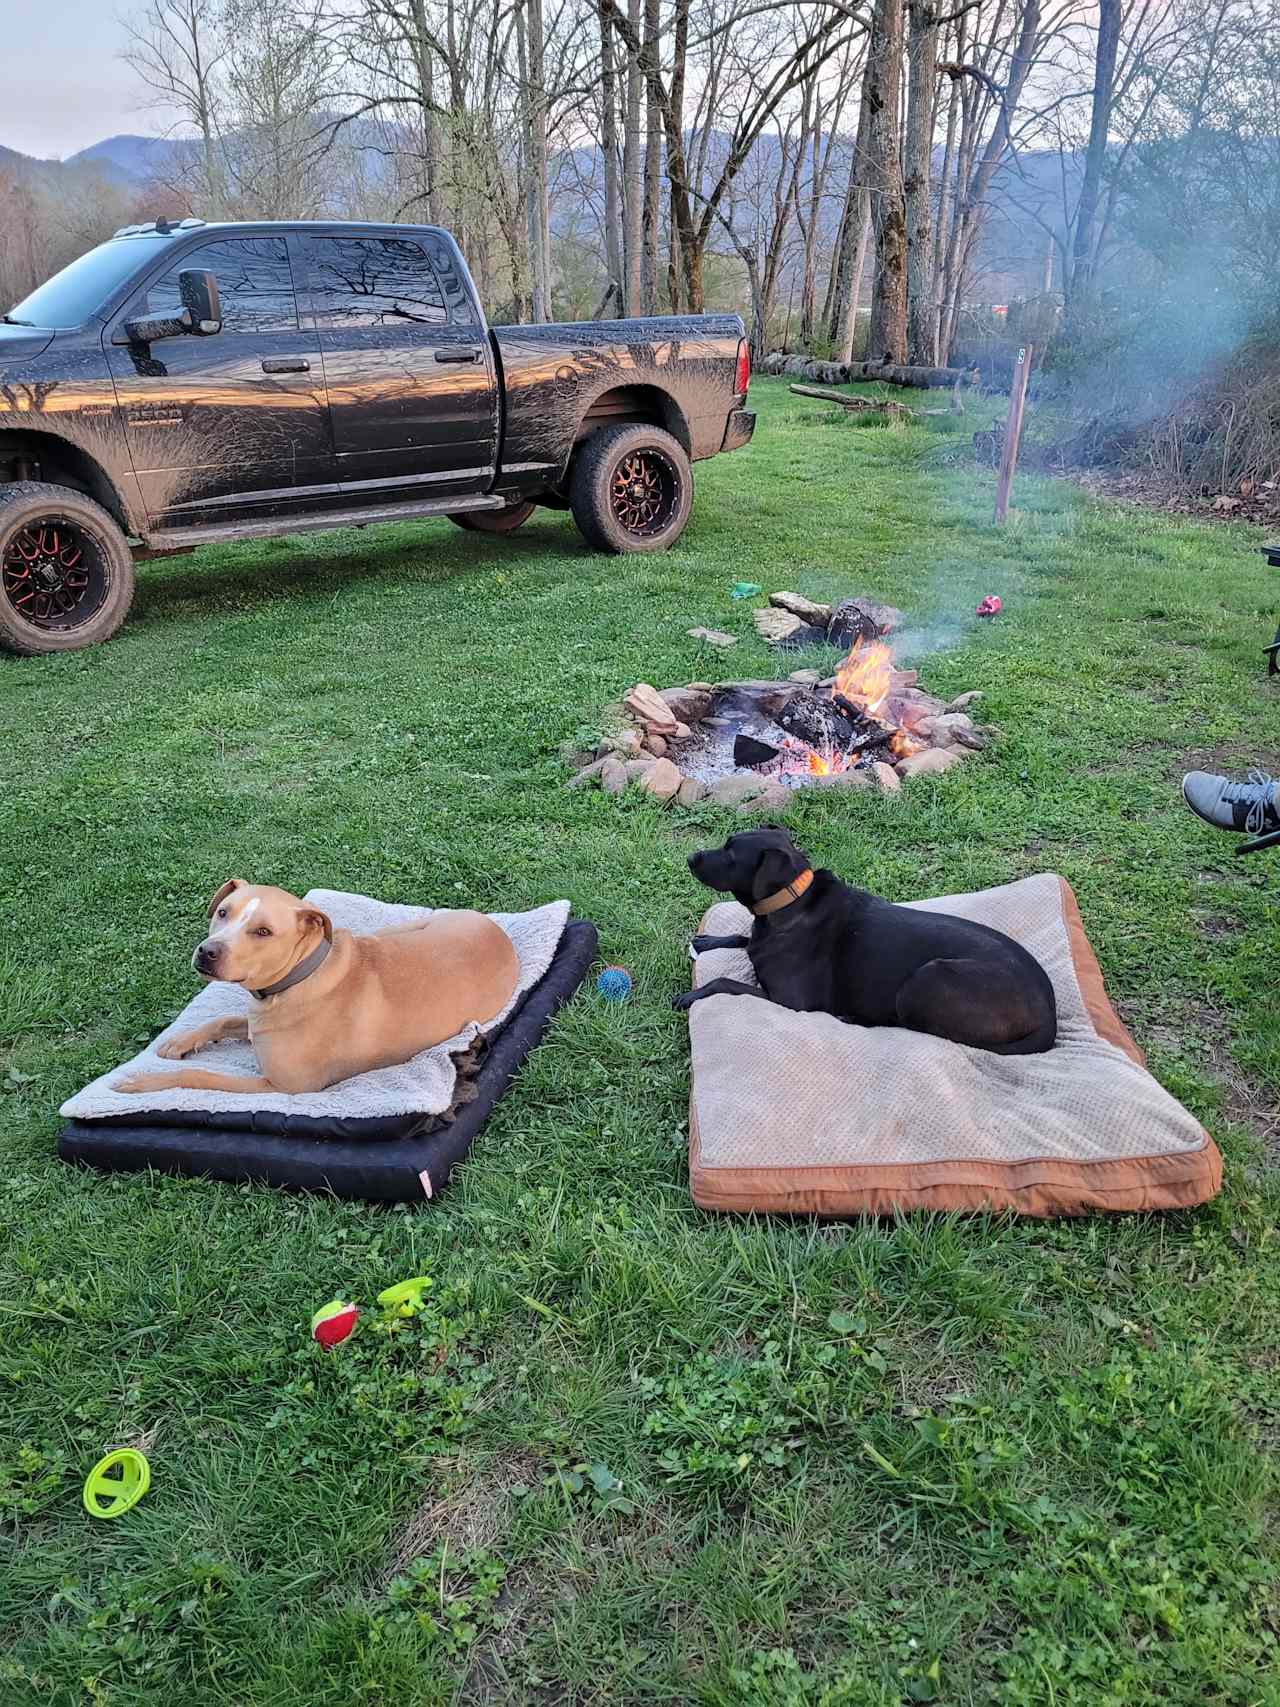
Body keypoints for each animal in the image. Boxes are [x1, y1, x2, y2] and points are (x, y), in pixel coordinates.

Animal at [117, 880, 522, 1092]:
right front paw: (180, 1042)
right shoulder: (254, 1023)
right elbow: (222, 1020)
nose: (207, 951)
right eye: (223, 912)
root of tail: (496, 928)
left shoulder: (281, 1087)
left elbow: (198, 1075)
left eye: (263, 931)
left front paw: (138, 1084)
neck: (298, 977)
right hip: (393, 930)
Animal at [682, 826, 1064, 1051]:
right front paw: (707, 941)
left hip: (928, 978)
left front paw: (691, 995)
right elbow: (741, 938)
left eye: (731, 853)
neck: (791, 902)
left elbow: (725, 982)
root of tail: (1051, 1015)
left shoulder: (791, 1002)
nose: (690, 857)